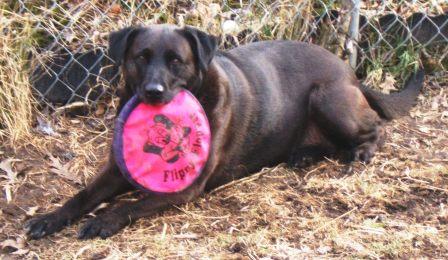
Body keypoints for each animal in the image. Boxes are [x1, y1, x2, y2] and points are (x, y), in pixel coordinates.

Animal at [24, 24, 424, 240]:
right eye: (141, 57)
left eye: (176, 61)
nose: (153, 92)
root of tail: (351, 73)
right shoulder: (115, 170)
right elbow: (82, 196)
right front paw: (48, 218)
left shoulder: (188, 187)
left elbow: (131, 205)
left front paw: (103, 221)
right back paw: (303, 154)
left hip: (327, 100)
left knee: (377, 127)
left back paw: (362, 151)